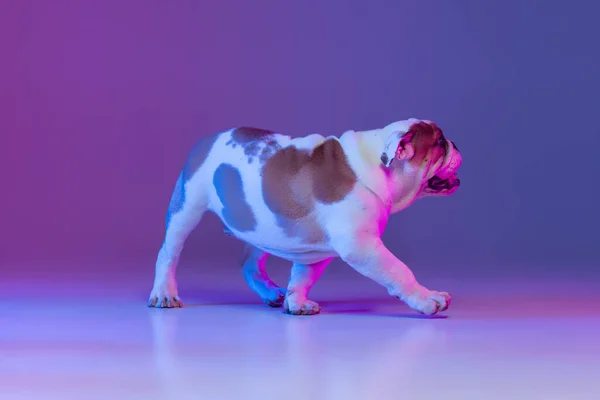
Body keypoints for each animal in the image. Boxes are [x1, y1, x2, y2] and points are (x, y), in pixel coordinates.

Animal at [148, 118, 462, 316]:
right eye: (439, 142)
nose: (456, 144)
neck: (376, 166)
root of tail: (208, 139)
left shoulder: (315, 250)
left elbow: (302, 276)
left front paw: (296, 302)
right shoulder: (361, 246)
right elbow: (399, 270)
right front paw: (427, 298)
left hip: (262, 228)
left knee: (249, 263)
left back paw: (270, 293)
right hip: (186, 209)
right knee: (168, 253)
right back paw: (164, 293)